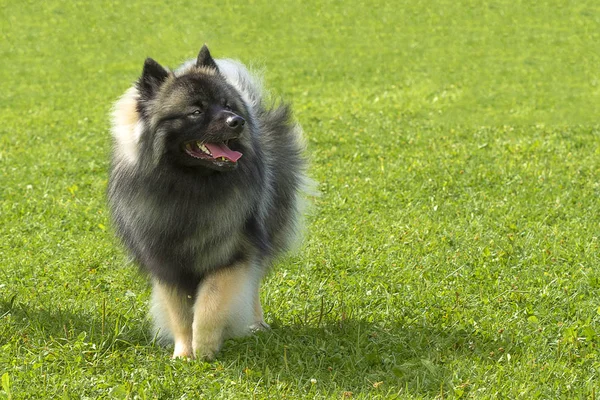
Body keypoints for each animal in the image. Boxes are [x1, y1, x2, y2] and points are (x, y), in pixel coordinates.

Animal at [105, 45, 308, 360]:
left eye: (227, 105)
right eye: (196, 111)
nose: (237, 121)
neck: (190, 189)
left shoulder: (231, 254)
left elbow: (210, 304)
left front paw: (204, 347)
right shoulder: (166, 262)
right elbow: (179, 313)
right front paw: (184, 353)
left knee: (253, 285)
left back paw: (257, 324)